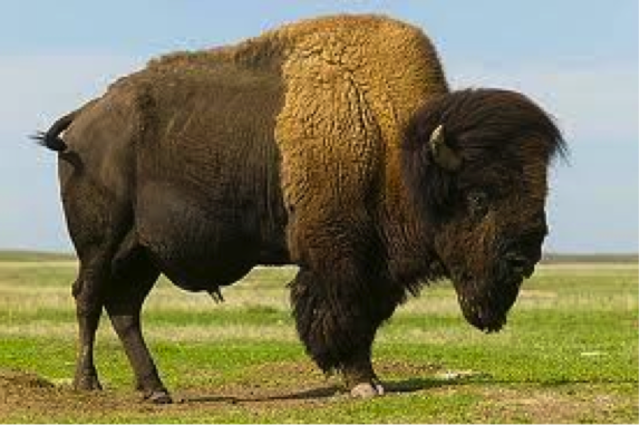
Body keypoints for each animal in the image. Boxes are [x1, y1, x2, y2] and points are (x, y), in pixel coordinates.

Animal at [35, 15, 565, 402]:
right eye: (478, 197)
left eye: (539, 190)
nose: (523, 258)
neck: (392, 144)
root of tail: (85, 117)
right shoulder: (338, 254)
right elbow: (342, 312)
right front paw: (362, 383)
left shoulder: (375, 265)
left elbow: (365, 316)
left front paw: (369, 379)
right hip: (101, 243)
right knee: (88, 297)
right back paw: (88, 383)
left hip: (143, 253)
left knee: (125, 308)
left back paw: (156, 391)